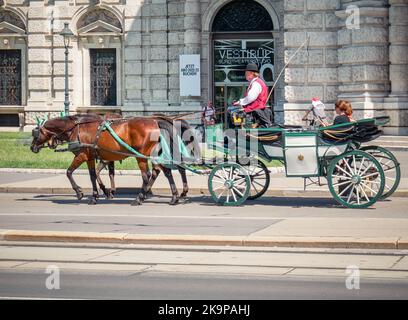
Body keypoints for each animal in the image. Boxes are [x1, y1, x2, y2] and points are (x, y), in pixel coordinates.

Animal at [31, 114, 183, 205]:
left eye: (35, 134)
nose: (32, 147)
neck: (75, 128)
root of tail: (155, 122)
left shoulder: (82, 155)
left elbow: (69, 172)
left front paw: (80, 192)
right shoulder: (90, 157)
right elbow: (93, 175)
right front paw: (95, 196)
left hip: (142, 156)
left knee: (147, 175)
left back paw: (139, 197)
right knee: (166, 172)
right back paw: (174, 196)